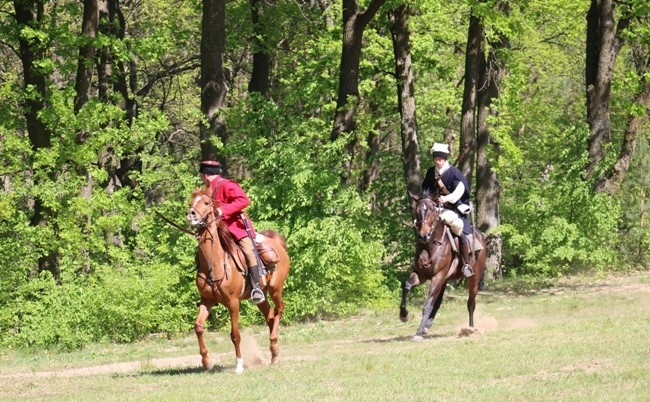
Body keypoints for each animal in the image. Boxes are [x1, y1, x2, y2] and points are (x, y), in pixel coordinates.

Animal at [186, 190, 290, 372]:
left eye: (206, 202)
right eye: (191, 202)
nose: (191, 214)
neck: (216, 263)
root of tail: (277, 243)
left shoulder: (233, 303)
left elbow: (235, 334)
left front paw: (239, 365)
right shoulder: (207, 300)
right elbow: (198, 327)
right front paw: (206, 361)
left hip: (275, 289)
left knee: (279, 310)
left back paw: (274, 343)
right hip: (261, 296)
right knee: (270, 316)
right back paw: (274, 353)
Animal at [400, 192, 486, 340]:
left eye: (432, 211)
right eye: (417, 211)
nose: (424, 235)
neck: (430, 246)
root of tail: (481, 236)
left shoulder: (437, 277)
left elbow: (428, 305)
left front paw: (418, 333)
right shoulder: (421, 275)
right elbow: (407, 285)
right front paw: (404, 315)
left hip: (474, 279)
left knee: (471, 303)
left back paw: (470, 329)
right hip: (445, 280)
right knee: (438, 302)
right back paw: (427, 327)